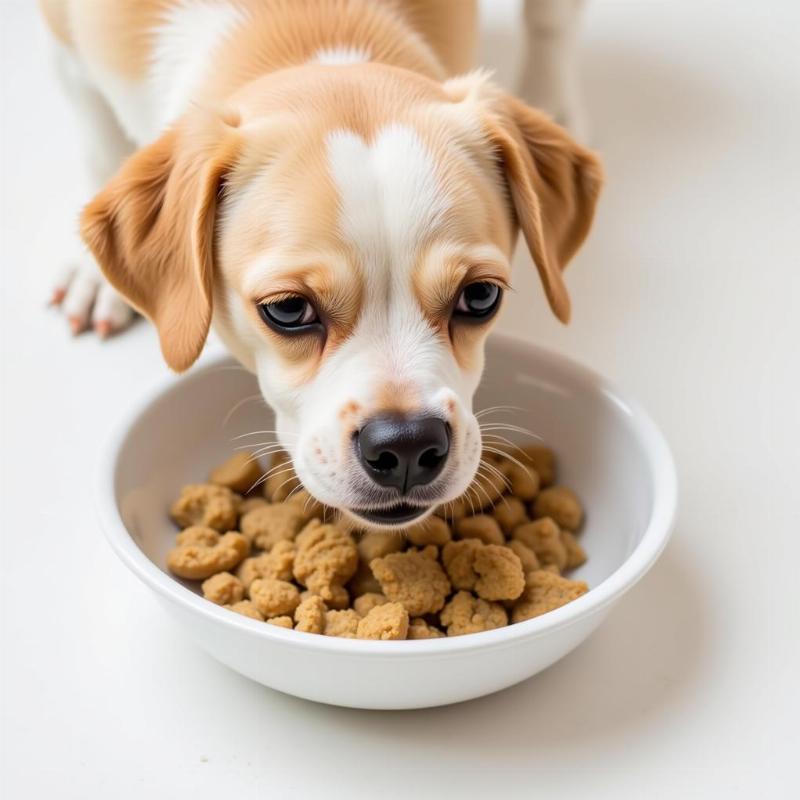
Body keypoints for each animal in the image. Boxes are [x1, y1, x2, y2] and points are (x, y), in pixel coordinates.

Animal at [39, 1, 600, 532]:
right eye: (287, 309)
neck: (312, 24)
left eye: (481, 296)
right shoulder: (69, 52)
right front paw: (96, 277)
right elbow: (100, 145)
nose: (407, 444)